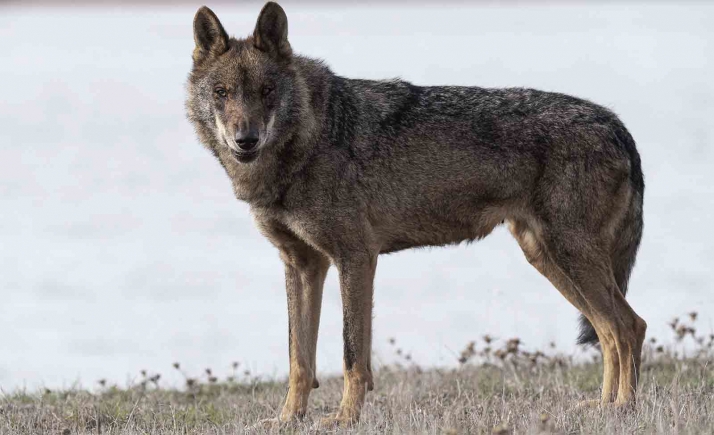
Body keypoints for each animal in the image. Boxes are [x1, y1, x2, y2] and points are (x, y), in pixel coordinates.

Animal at [186, 2, 646, 425]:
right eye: (222, 93)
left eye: (267, 91)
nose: (246, 140)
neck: (307, 139)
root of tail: (615, 123)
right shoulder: (302, 264)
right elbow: (299, 358)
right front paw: (288, 420)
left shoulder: (355, 258)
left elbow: (352, 355)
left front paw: (346, 419)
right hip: (549, 259)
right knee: (609, 331)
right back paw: (603, 408)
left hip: (569, 257)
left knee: (628, 326)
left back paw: (623, 409)